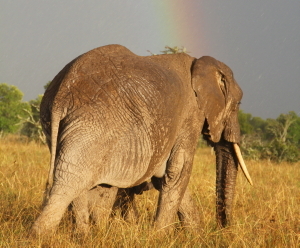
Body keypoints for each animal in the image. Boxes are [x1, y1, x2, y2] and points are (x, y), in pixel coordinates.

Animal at [31, 44, 251, 236]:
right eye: (238, 103)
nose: (223, 229)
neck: (200, 64)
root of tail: (62, 94)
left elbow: (168, 175)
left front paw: (195, 236)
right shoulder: (191, 114)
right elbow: (179, 169)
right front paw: (160, 237)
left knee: (86, 184)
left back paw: (87, 236)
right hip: (93, 126)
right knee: (69, 182)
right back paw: (40, 236)